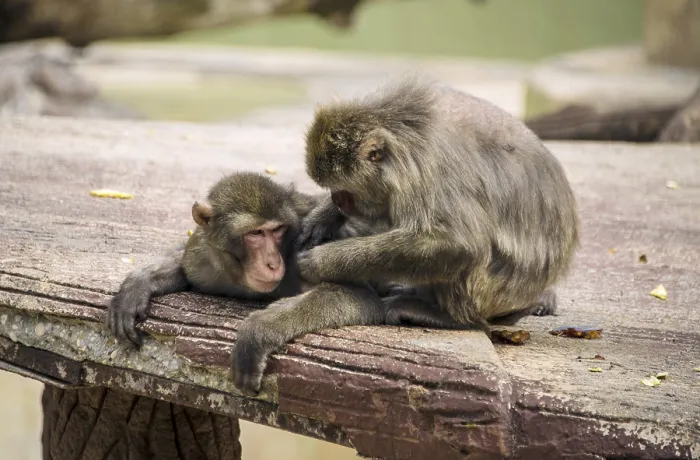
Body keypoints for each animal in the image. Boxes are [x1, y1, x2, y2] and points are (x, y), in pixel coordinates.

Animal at [229, 76, 579, 393]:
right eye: (334, 191)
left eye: (345, 190)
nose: (338, 201)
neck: (406, 129)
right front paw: (322, 219)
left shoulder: (425, 171)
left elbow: (458, 244)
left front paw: (321, 261)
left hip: (492, 293)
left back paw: (447, 316)